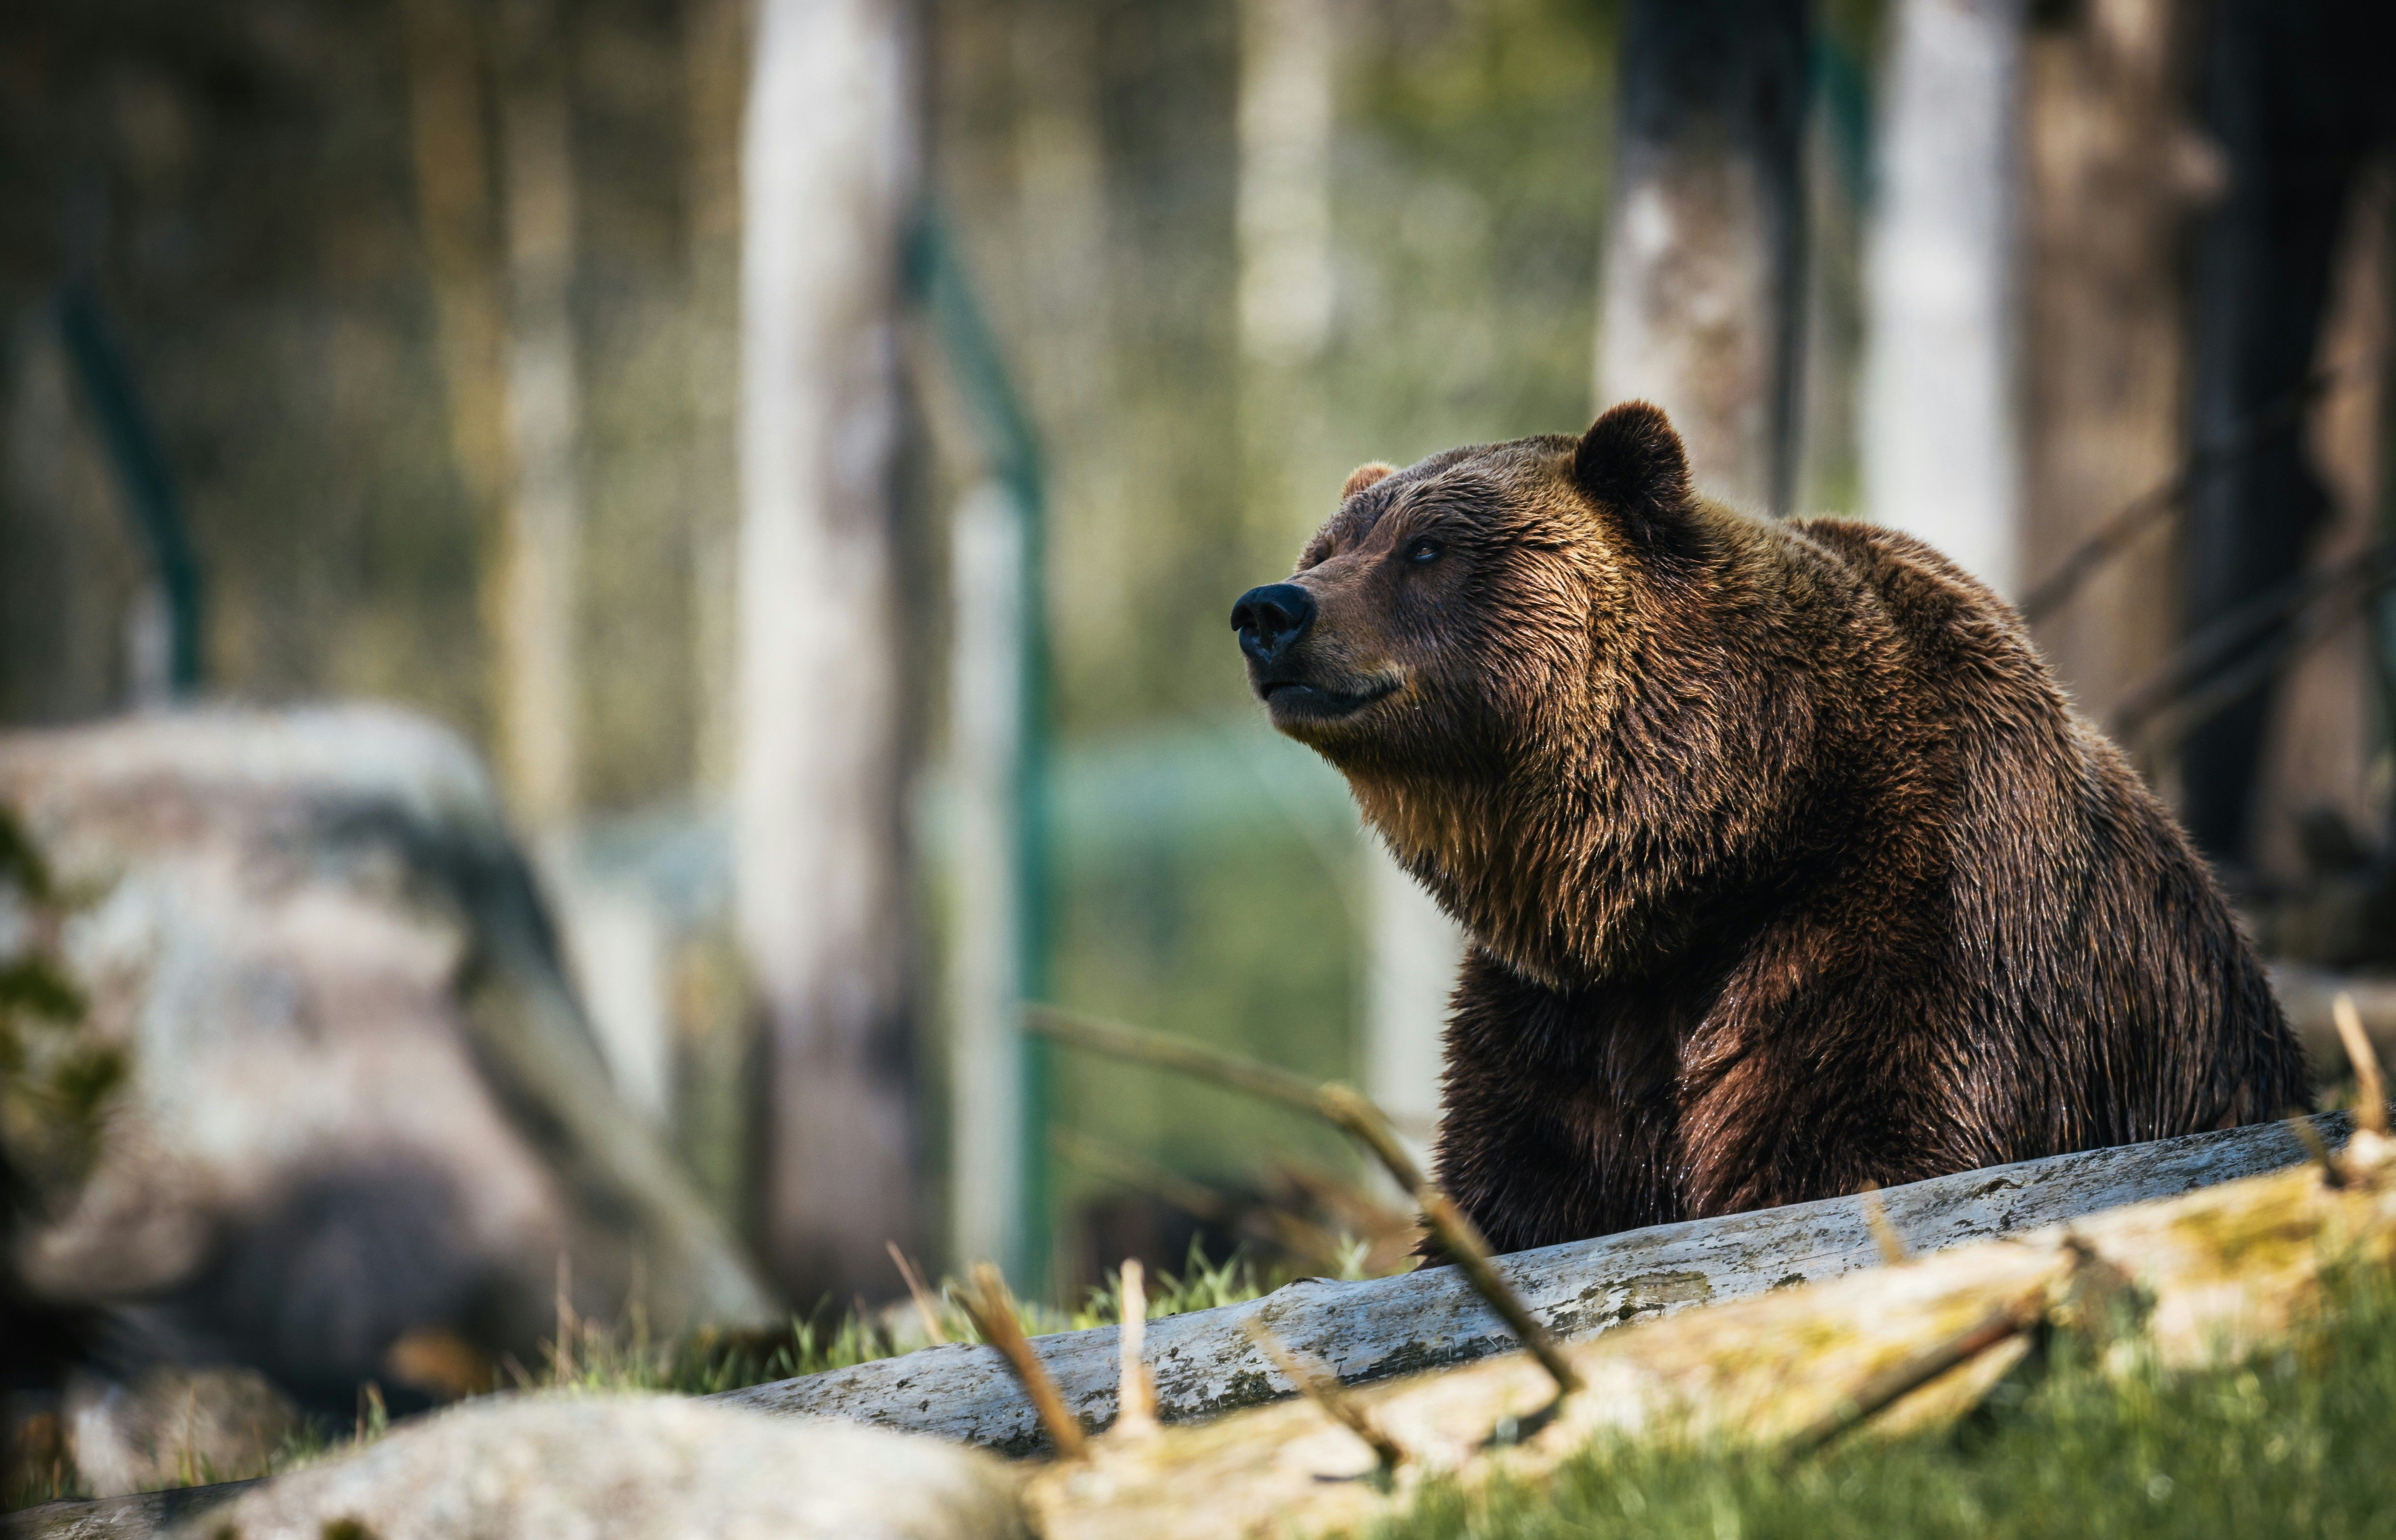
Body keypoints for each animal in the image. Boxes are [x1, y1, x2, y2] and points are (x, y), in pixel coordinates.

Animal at [1226, 397, 2310, 1255]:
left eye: (1428, 548)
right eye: (1325, 549)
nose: (1271, 609)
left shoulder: (1909, 916)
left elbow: (1854, 1146)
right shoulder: (1564, 1017)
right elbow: (1524, 1187)